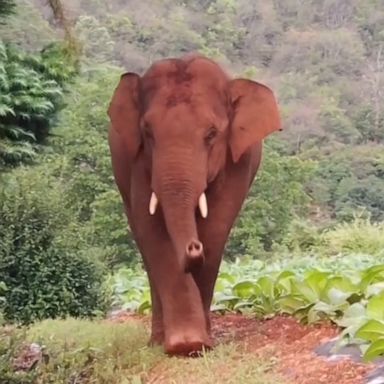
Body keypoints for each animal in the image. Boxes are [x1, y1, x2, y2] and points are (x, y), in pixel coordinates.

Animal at [108, 54, 282, 356]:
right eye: (147, 132)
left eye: (211, 134)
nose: (193, 246)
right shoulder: (138, 162)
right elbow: (152, 228)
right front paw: (185, 344)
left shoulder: (238, 161)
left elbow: (217, 227)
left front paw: (199, 344)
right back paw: (157, 341)